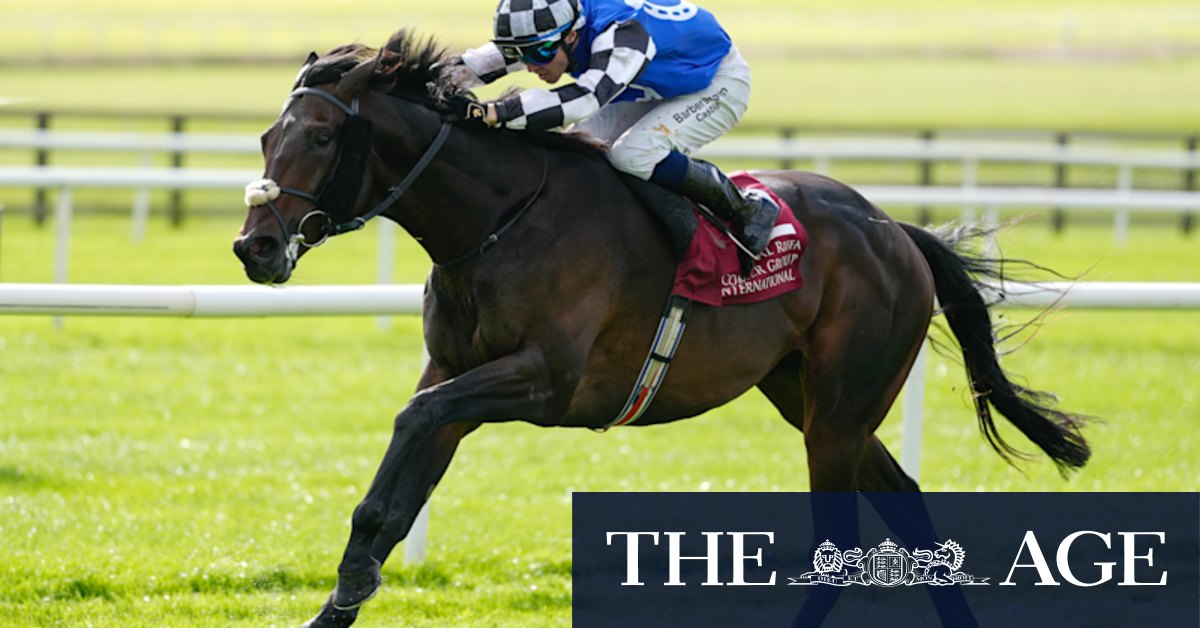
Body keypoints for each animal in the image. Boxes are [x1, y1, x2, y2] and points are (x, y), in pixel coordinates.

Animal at [232, 31, 1090, 627]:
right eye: (266, 138)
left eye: (319, 138)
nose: (255, 247)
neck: (499, 221)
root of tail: (894, 230)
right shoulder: (451, 374)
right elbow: (393, 494)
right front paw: (343, 594)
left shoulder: (546, 381)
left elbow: (414, 420)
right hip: (805, 396)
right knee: (904, 502)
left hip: (842, 407)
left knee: (845, 537)